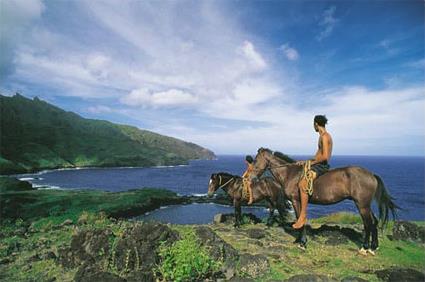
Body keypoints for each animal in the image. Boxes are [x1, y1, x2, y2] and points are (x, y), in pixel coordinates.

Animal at [250, 149, 396, 252]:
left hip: (362, 205)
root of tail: (371, 175)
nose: (251, 178)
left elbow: (300, 219)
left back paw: (365, 247)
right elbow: (299, 219)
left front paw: (302, 242)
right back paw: (374, 246)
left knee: (368, 223)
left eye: (255, 160)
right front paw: (298, 240)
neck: (291, 174)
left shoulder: (296, 201)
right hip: (365, 204)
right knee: (374, 221)